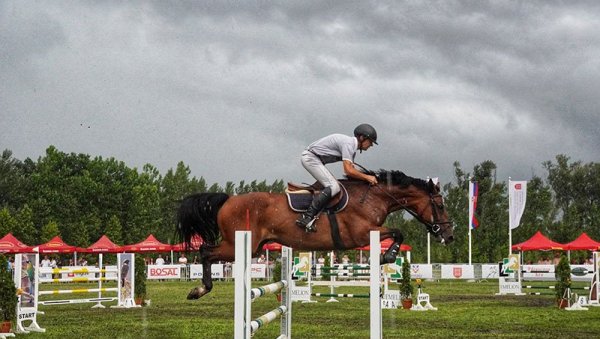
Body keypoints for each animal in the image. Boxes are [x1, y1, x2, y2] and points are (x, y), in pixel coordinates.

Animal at [176, 170, 452, 300]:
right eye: (440, 205)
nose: (448, 236)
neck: (373, 198)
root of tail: (227, 200)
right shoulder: (362, 235)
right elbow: (398, 232)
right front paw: (388, 257)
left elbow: (397, 233)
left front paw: (387, 257)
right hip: (238, 245)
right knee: (205, 251)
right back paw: (199, 290)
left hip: (250, 247)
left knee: (207, 252)